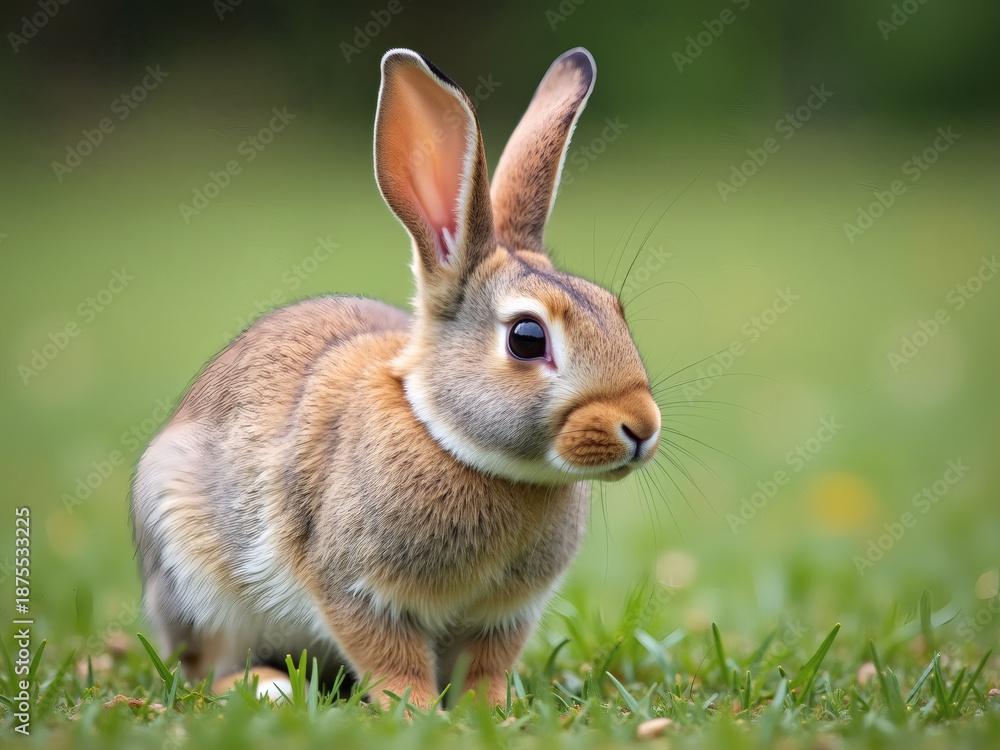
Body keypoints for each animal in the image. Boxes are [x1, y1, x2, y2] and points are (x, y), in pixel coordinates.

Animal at [130, 46, 661, 709]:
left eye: (614, 308)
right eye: (527, 338)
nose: (642, 428)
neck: (450, 438)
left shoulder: (503, 616)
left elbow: (486, 665)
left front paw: (492, 710)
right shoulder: (355, 587)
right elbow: (390, 657)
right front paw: (413, 711)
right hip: (188, 568)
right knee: (204, 662)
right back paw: (265, 686)